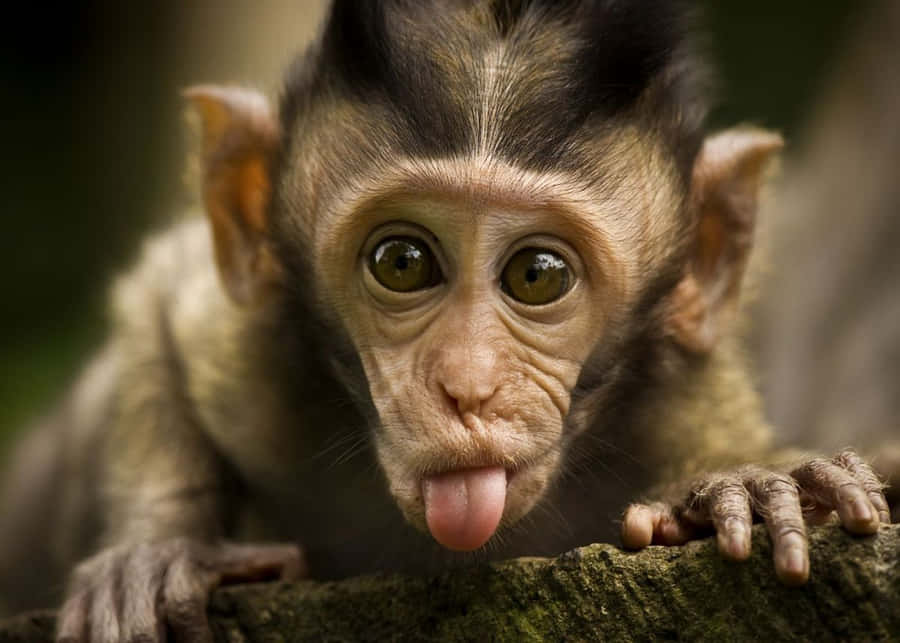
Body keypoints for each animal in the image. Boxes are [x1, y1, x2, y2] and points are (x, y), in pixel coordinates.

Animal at [0, 1, 892, 641]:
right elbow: (159, 299)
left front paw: (743, 482)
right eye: (402, 261)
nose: (467, 387)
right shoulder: (251, 363)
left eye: (538, 275)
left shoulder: (683, 396)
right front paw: (156, 549)